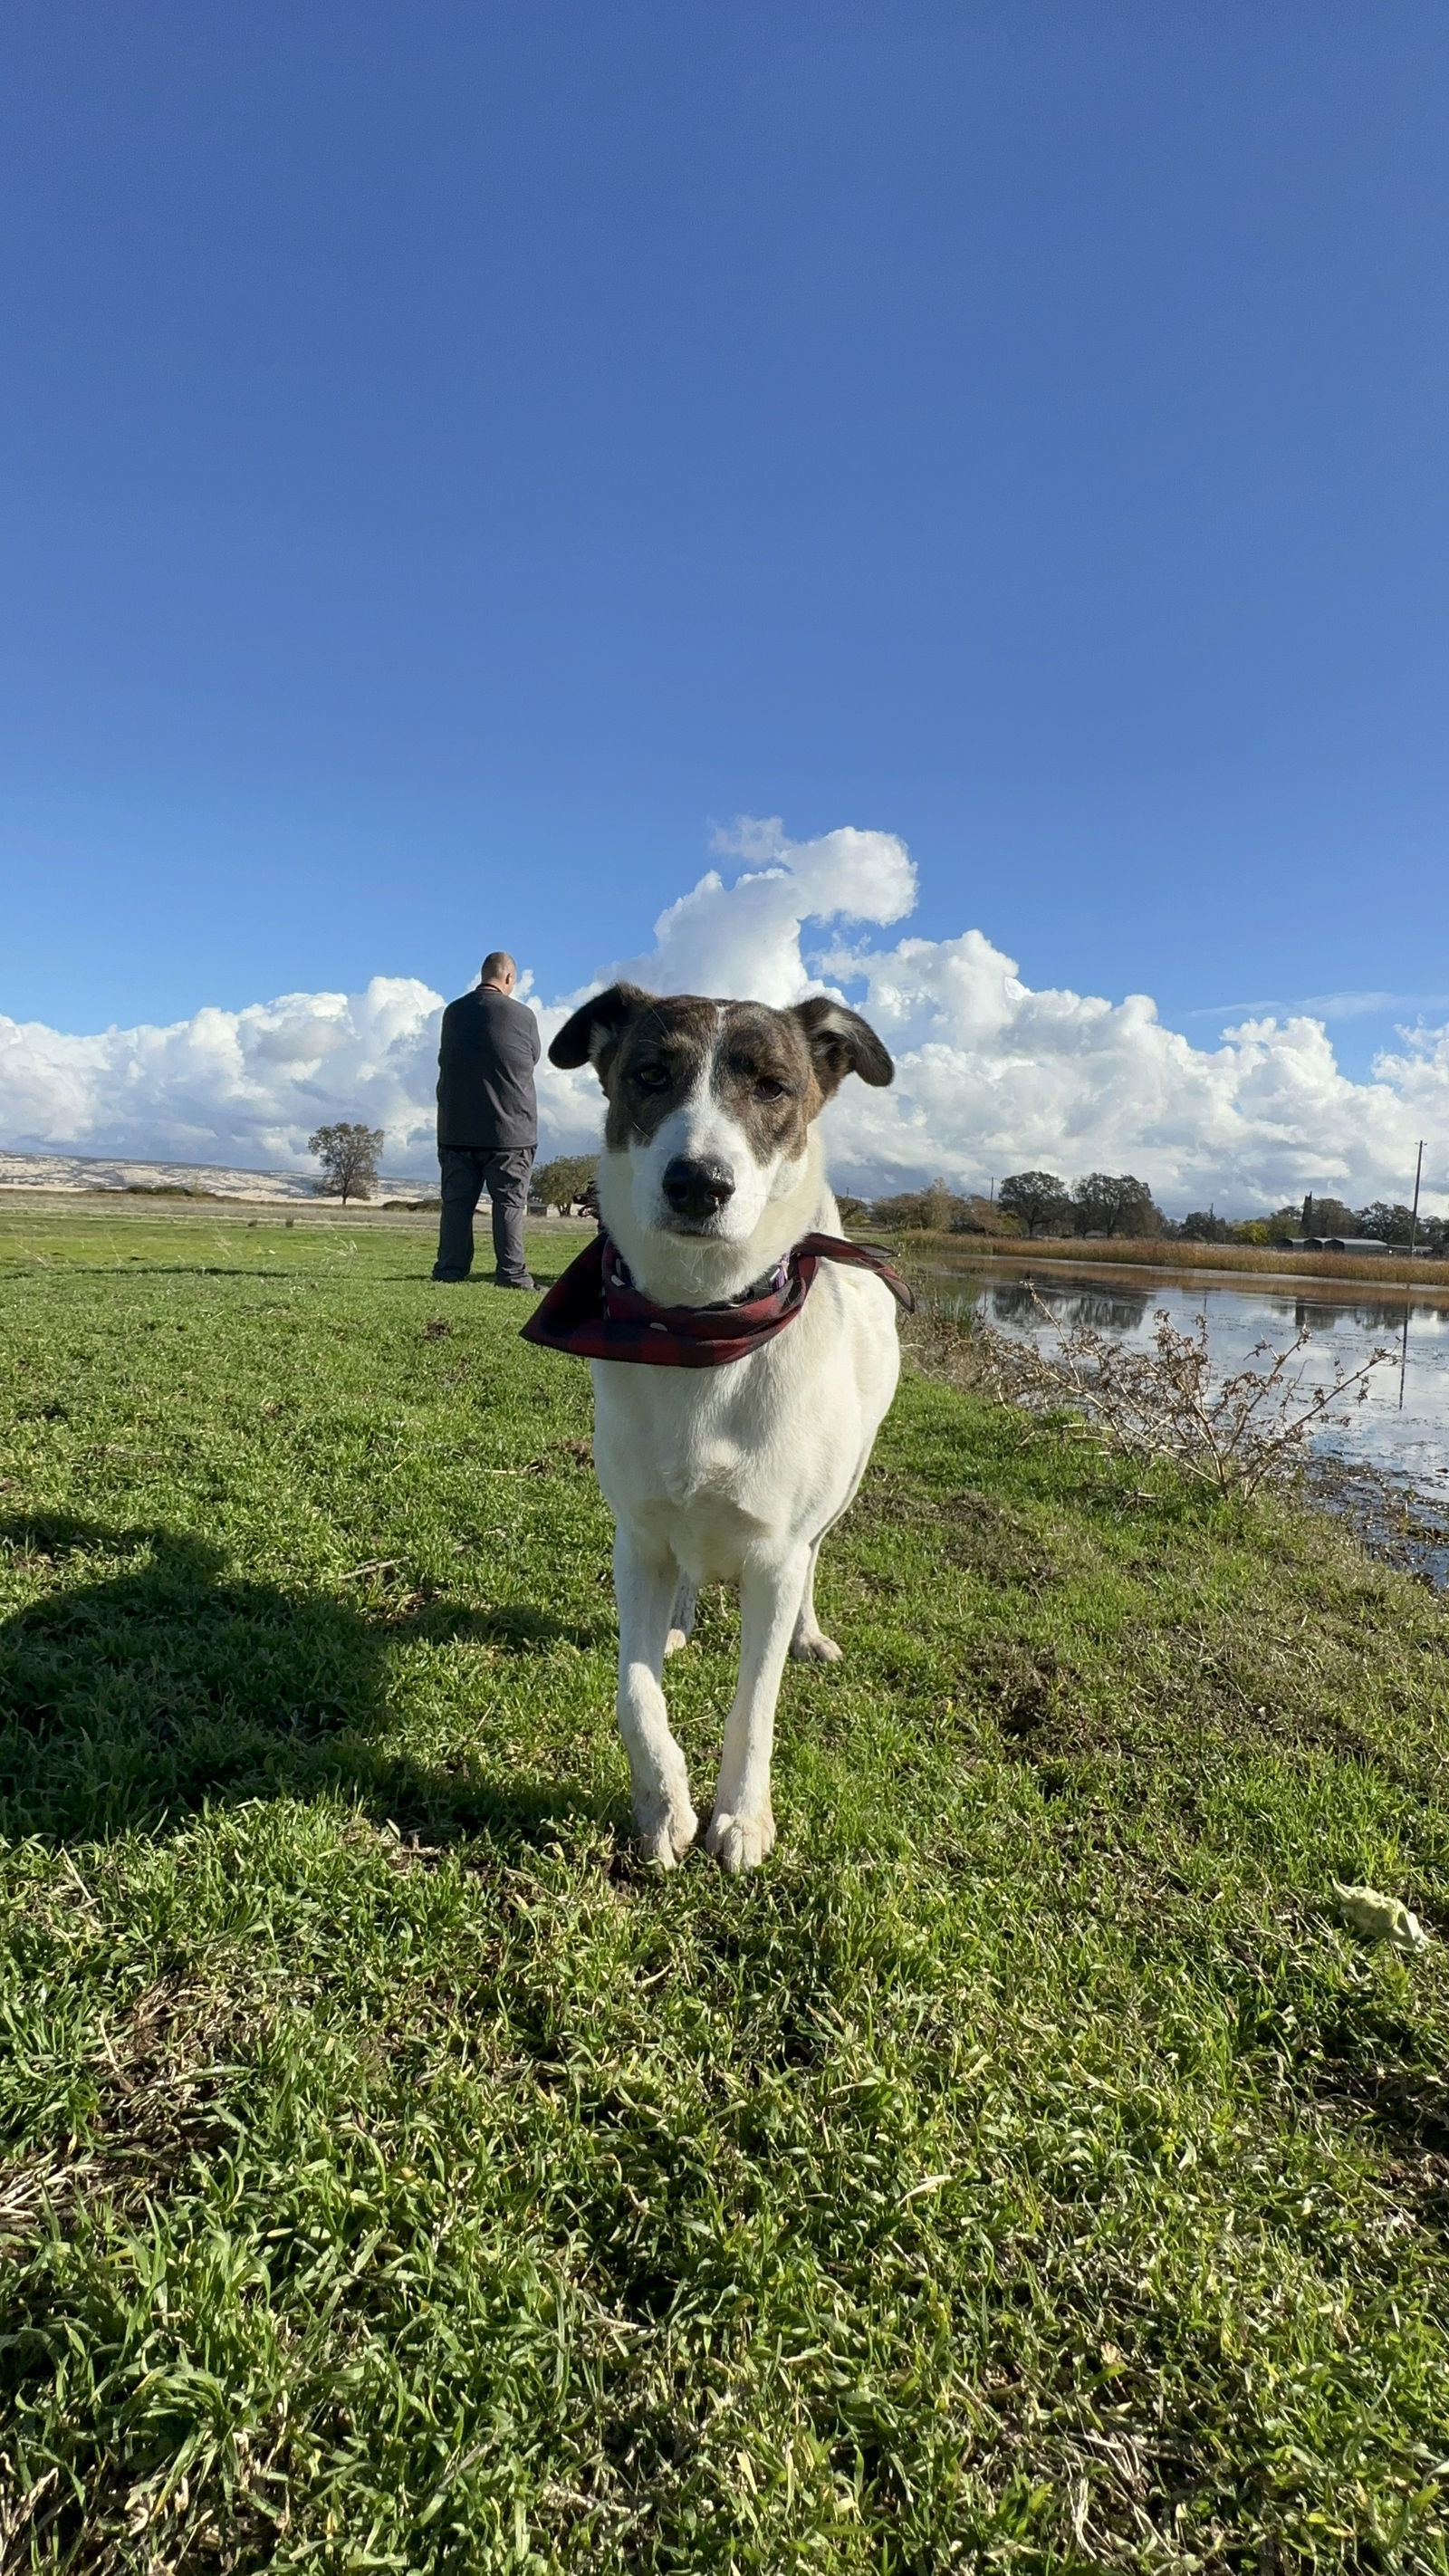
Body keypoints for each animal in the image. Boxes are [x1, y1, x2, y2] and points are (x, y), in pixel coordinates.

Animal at [527, 984, 911, 1875]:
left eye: (772, 1087)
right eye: (649, 1074)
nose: (697, 1183)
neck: (700, 1324)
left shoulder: (774, 1557)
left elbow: (755, 1706)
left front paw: (741, 1815)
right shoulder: (635, 1540)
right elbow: (634, 1692)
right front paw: (662, 1804)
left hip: (842, 1489)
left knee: (816, 1558)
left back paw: (809, 1633)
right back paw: (680, 1622)